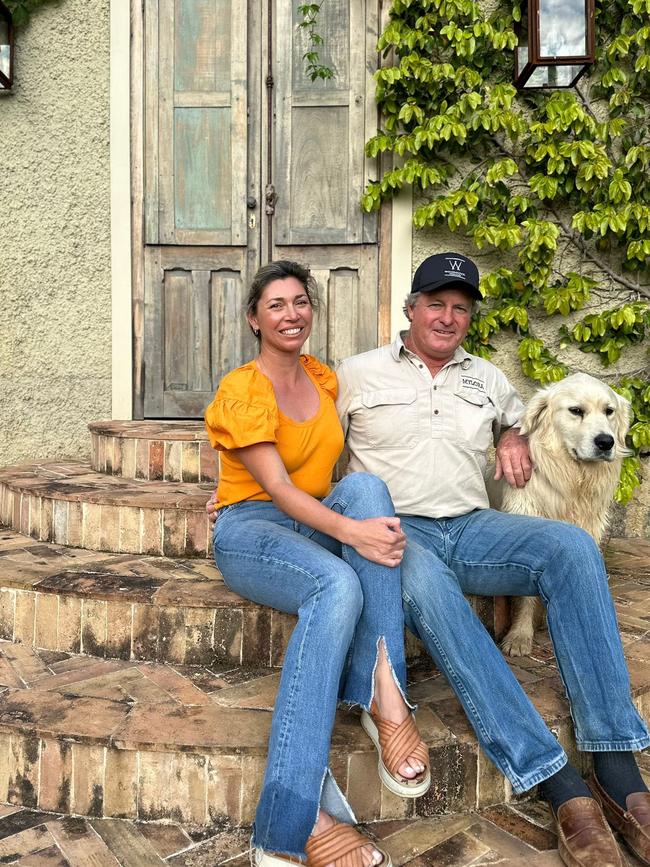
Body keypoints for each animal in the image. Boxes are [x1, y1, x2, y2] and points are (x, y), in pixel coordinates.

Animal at [488, 372, 632, 656]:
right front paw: (520, 636)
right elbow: (525, 597)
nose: (606, 442)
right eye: (576, 411)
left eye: (609, 411)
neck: (573, 481)